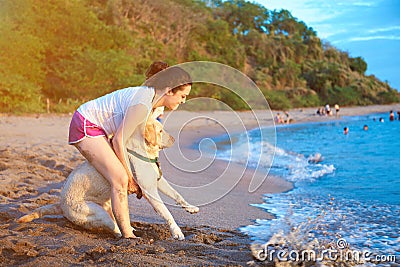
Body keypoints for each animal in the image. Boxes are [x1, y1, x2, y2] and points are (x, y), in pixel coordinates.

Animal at [18, 117, 199, 241]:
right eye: (160, 131)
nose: (174, 139)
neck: (144, 152)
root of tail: (61, 204)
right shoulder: (150, 191)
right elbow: (167, 213)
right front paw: (177, 232)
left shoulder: (158, 181)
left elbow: (176, 194)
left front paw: (190, 207)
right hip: (97, 212)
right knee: (115, 228)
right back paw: (128, 236)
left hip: (108, 206)